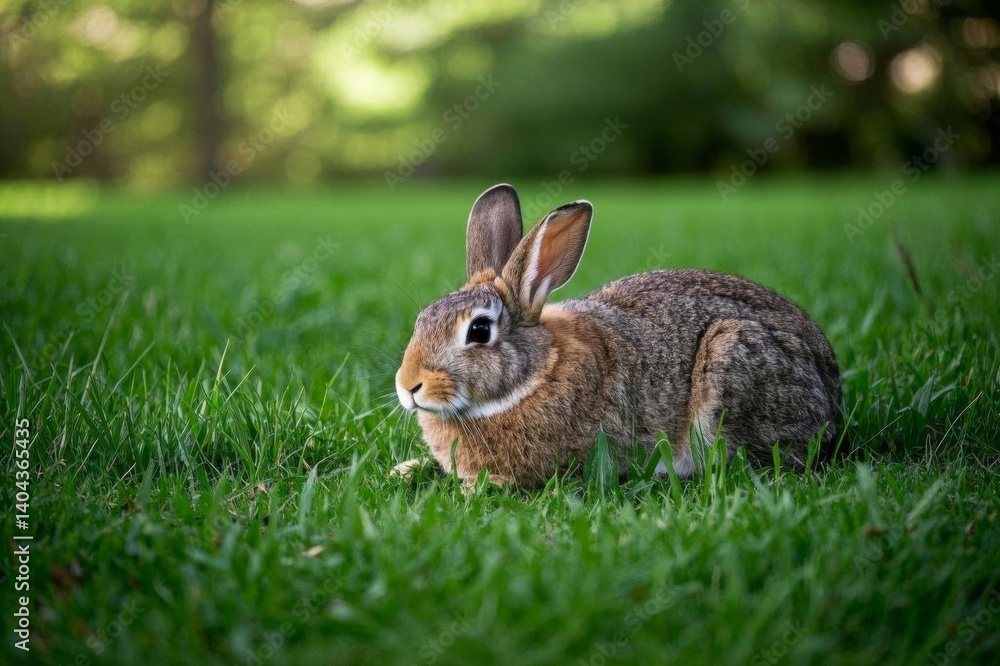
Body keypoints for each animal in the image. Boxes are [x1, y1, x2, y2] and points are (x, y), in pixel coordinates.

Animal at [394, 184, 841, 487]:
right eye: (422, 319)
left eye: (479, 330)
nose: (408, 386)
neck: (538, 374)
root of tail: (832, 398)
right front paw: (406, 470)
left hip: (731, 356)